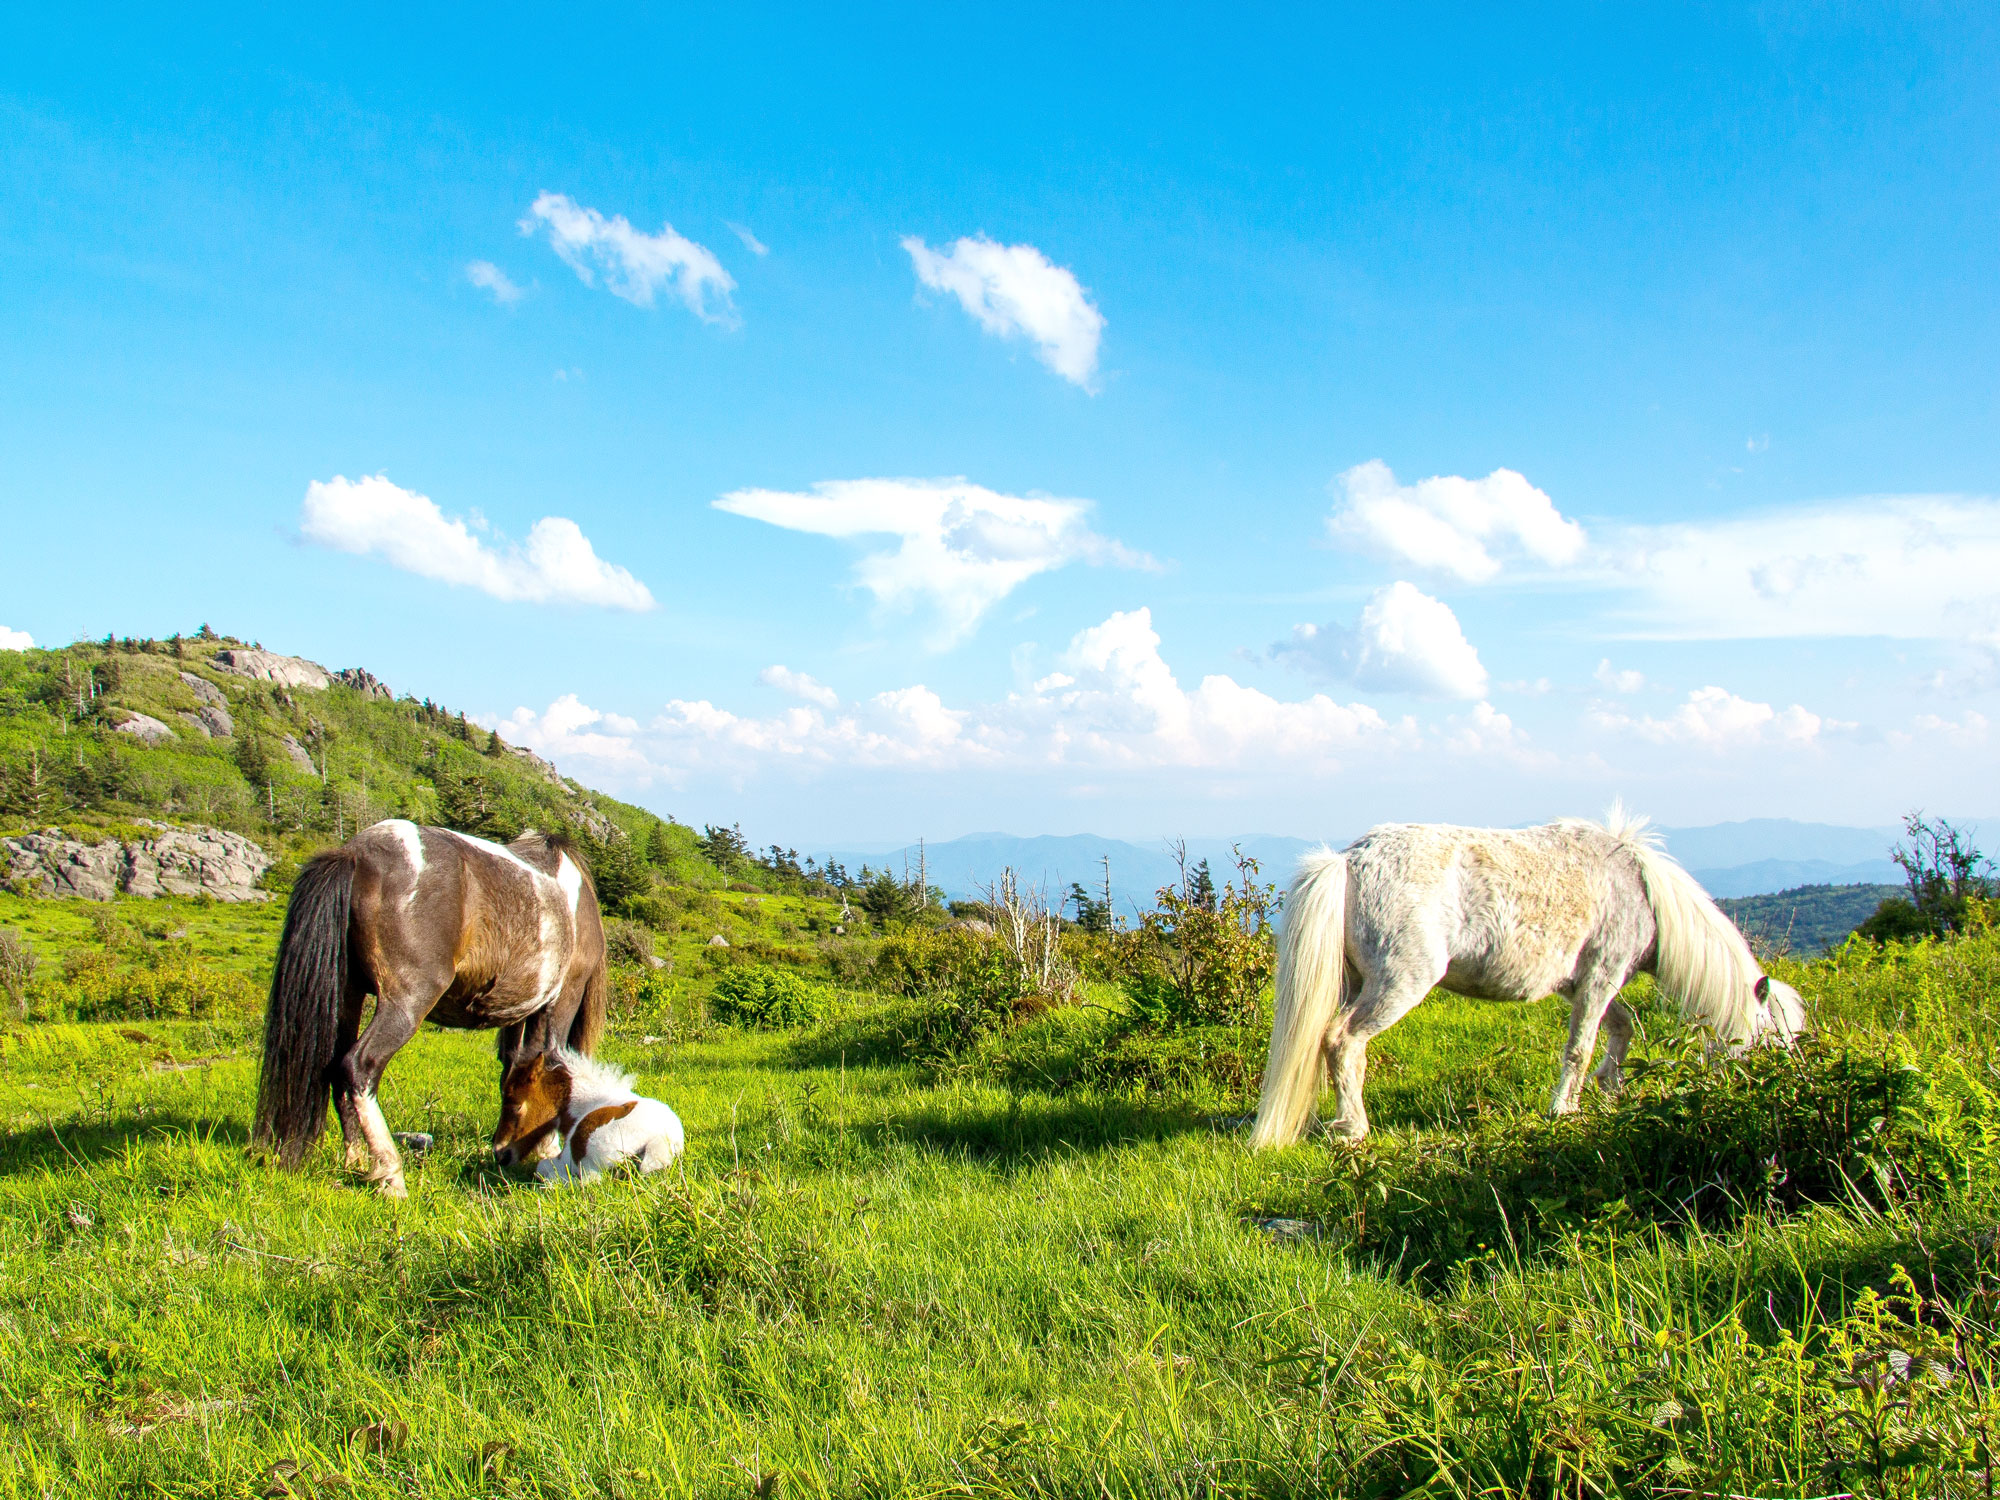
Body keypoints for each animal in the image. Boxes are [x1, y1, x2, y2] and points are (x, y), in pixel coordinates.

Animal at [251, 819, 609, 1196]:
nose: (503, 1155)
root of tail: (355, 854)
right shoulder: (563, 997)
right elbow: (551, 1064)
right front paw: (548, 1147)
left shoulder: (519, 1008)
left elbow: (516, 1066)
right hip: (406, 1002)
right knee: (359, 1066)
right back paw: (390, 1174)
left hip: (349, 996)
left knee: (334, 1068)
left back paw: (357, 1161)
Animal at [491, 1047, 685, 1184]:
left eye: (517, 1106)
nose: (500, 1154)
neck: (588, 1102)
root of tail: (659, 1139)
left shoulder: (565, 1158)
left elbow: (541, 1166)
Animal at [1250, 807, 1807, 1149]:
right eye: (1774, 1043)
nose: (1783, 1093)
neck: (1641, 891)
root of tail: (1348, 861)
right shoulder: (1602, 975)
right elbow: (1580, 1048)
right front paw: (1566, 1110)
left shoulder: (1585, 984)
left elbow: (1622, 1028)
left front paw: (1610, 1090)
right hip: (1397, 984)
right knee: (1343, 1041)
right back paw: (1355, 1128)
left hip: (1355, 981)